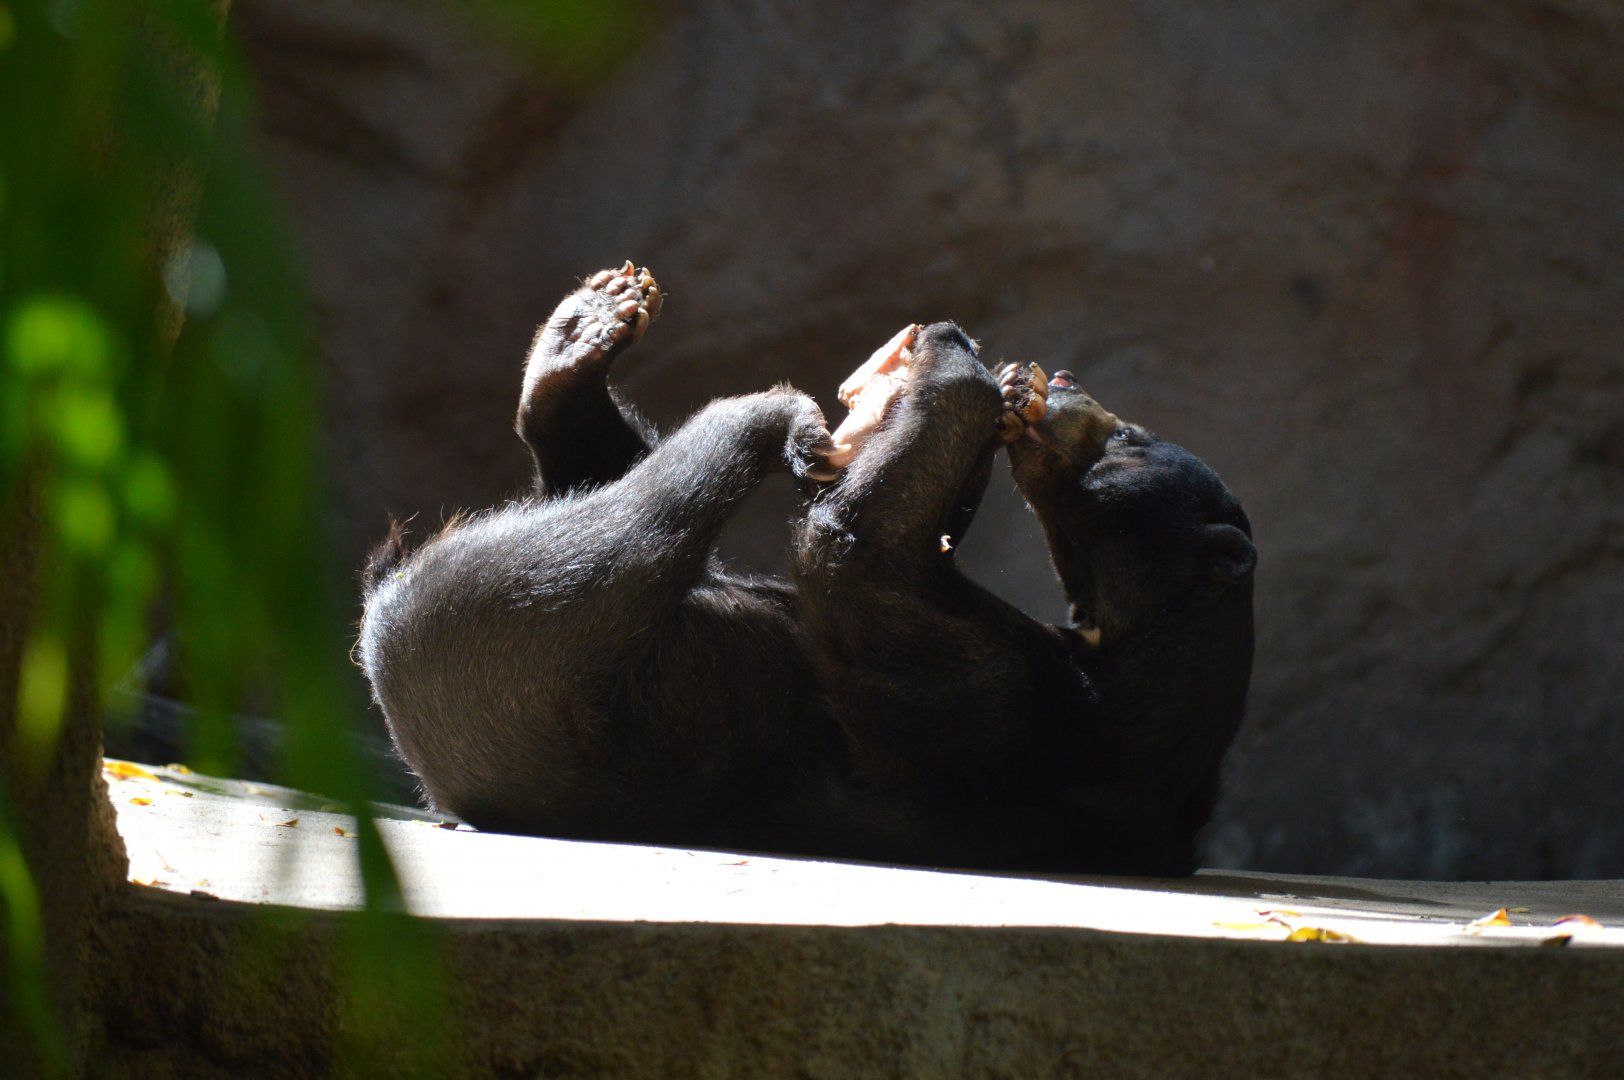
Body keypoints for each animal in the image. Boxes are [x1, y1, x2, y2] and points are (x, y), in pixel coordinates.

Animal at [356, 263, 1255, 875]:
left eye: (1129, 438)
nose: (1063, 381)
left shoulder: (1025, 728)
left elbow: (860, 558)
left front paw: (954, 374)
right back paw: (578, 342)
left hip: (513, 649)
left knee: (647, 516)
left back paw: (769, 416)